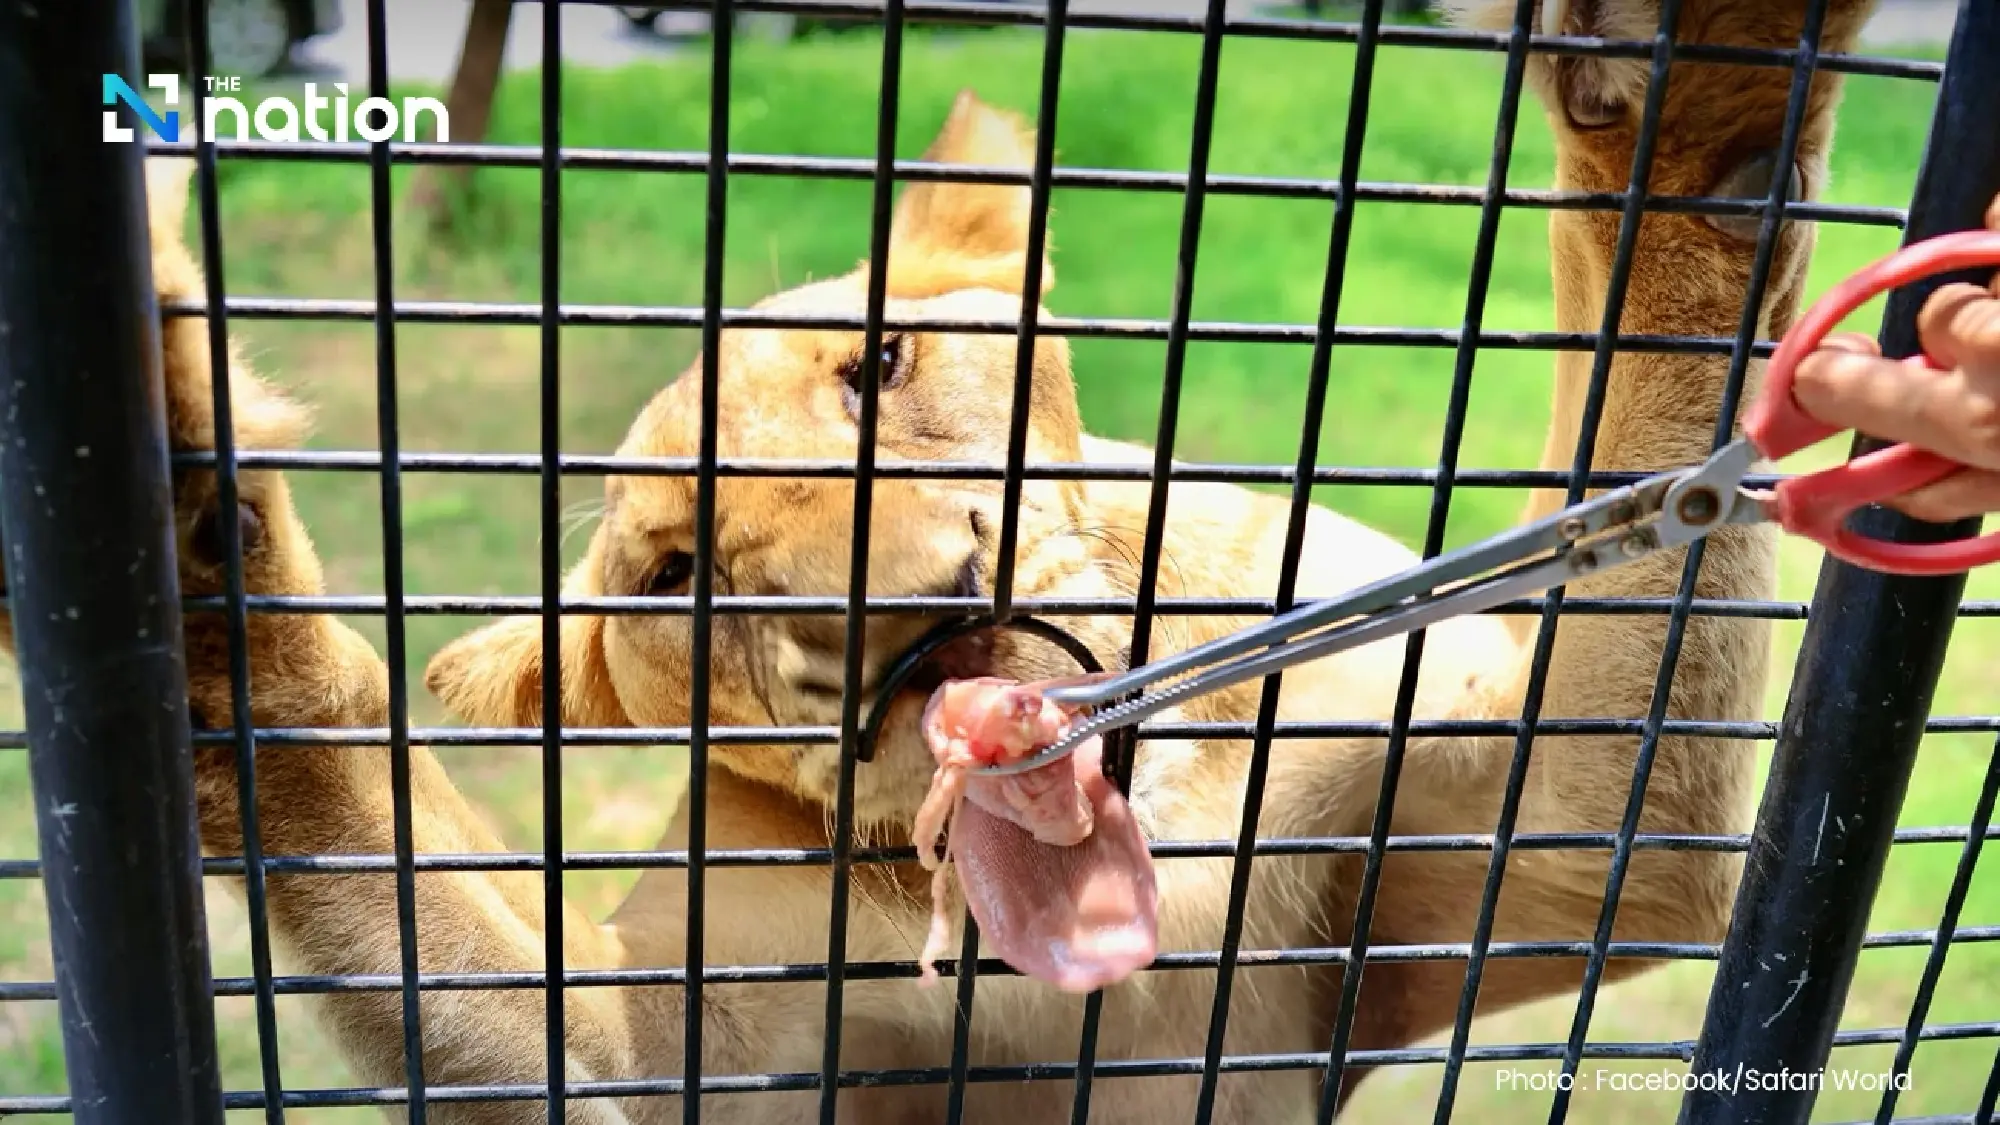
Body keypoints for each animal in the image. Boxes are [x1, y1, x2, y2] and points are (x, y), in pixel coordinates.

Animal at [6, 0, 1879, 1120]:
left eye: (882, 365)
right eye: (679, 572)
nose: (899, 602)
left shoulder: (1550, 845)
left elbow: (1662, 377)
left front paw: (1691, 79)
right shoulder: (664, 1057)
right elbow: (378, 843)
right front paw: (174, 518)